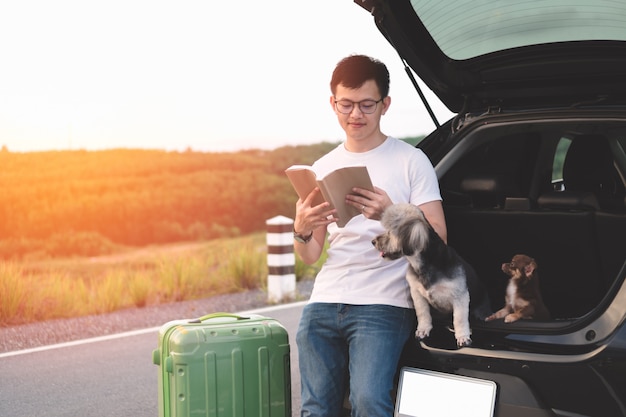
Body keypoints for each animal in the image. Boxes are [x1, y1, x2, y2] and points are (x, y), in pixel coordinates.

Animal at [370, 203, 488, 346]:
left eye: (390, 231)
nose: (373, 241)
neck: (424, 264)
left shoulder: (460, 296)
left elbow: (459, 319)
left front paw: (463, 337)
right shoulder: (417, 294)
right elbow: (422, 313)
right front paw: (423, 329)